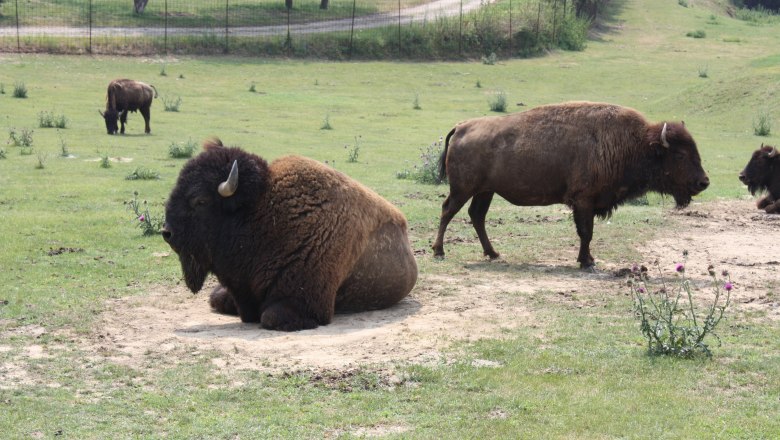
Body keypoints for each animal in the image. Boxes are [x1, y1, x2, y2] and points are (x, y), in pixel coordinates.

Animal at [162, 139, 418, 331]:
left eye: (200, 200)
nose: (167, 233)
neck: (259, 212)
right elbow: (218, 298)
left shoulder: (305, 302)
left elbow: (270, 317)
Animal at [432, 101, 710, 269]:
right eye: (680, 155)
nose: (703, 182)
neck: (636, 144)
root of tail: (461, 127)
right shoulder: (583, 201)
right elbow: (586, 232)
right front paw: (586, 261)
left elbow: (586, 233)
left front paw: (588, 259)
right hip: (463, 189)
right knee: (447, 211)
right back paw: (439, 252)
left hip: (485, 191)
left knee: (476, 216)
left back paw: (493, 253)